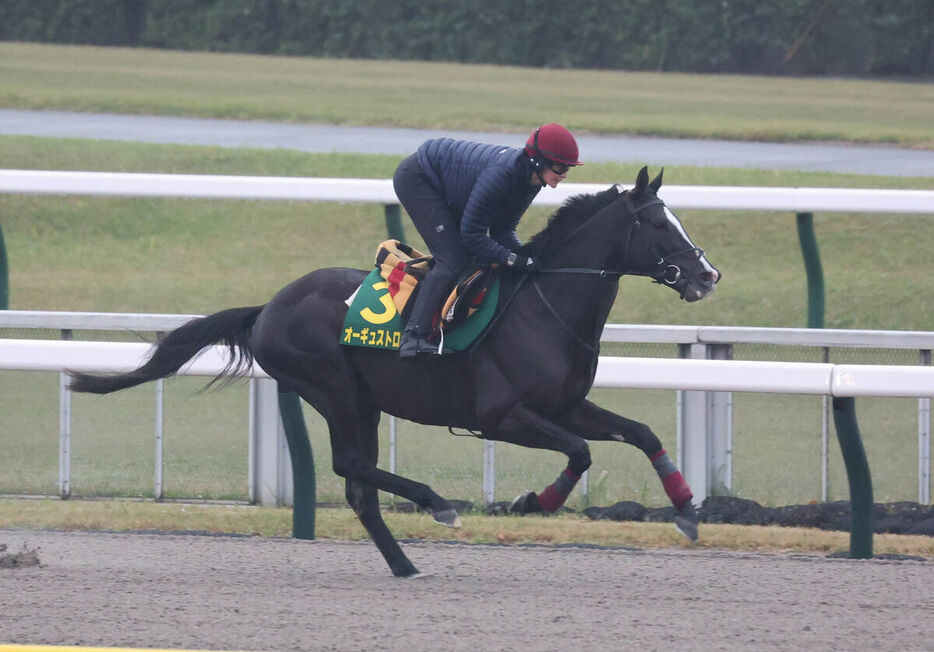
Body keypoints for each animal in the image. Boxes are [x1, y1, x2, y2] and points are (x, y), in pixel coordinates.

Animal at [69, 167, 720, 576]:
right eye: (658, 224)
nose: (707, 275)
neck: (544, 305)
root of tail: (268, 307)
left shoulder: (564, 405)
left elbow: (642, 434)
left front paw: (688, 512)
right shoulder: (502, 416)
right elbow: (581, 453)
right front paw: (533, 501)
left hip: (360, 400)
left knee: (358, 484)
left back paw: (406, 564)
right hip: (335, 389)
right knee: (351, 467)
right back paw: (436, 503)